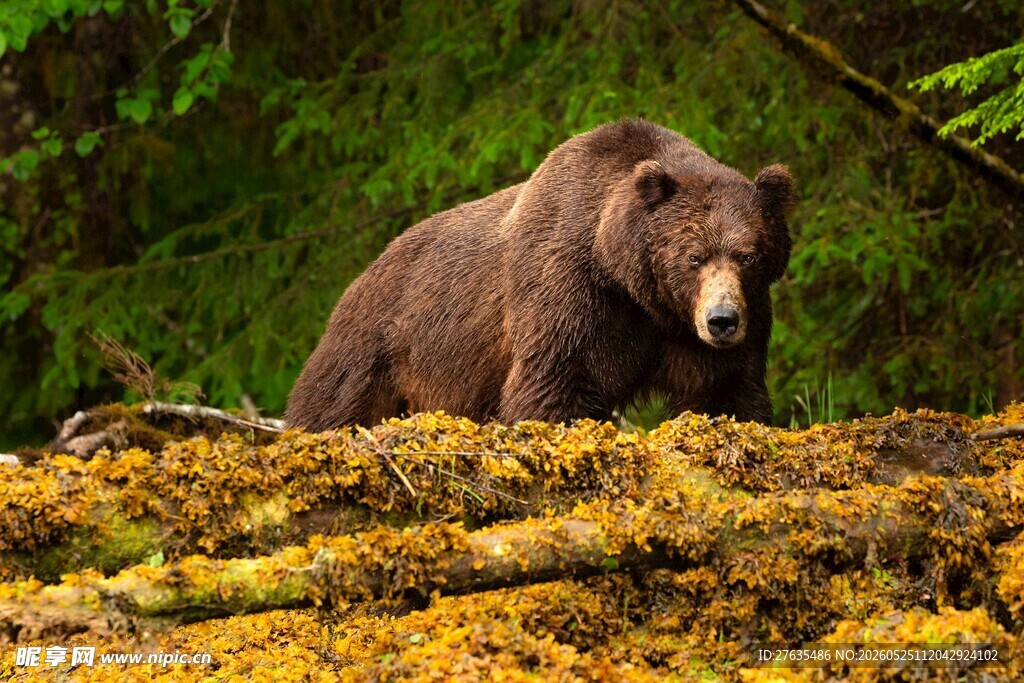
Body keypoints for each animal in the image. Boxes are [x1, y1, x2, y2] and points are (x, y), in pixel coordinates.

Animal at [285, 119, 794, 430]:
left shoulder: (710, 326)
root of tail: (366, 270)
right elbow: (555, 382)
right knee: (332, 402)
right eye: (693, 256)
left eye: (748, 255)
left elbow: (724, 390)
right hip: (381, 344)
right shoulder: (572, 289)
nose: (721, 320)